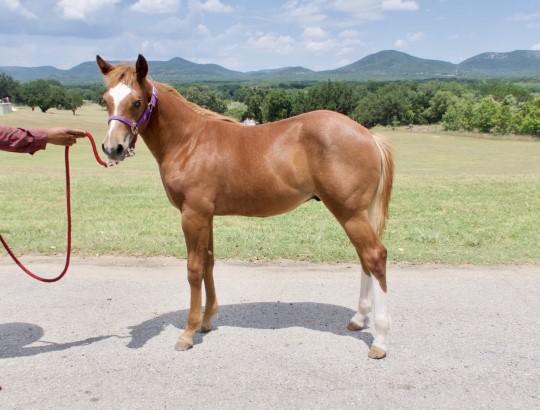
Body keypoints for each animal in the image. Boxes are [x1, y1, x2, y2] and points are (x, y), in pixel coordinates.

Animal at [96, 54, 392, 358]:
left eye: (137, 101)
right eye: (106, 99)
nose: (112, 148)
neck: (189, 141)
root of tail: (369, 135)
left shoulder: (193, 216)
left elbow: (194, 270)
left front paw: (188, 332)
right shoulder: (206, 216)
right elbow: (209, 263)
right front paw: (207, 320)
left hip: (350, 214)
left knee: (375, 257)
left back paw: (380, 340)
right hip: (355, 215)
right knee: (364, 259)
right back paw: (359, 318)